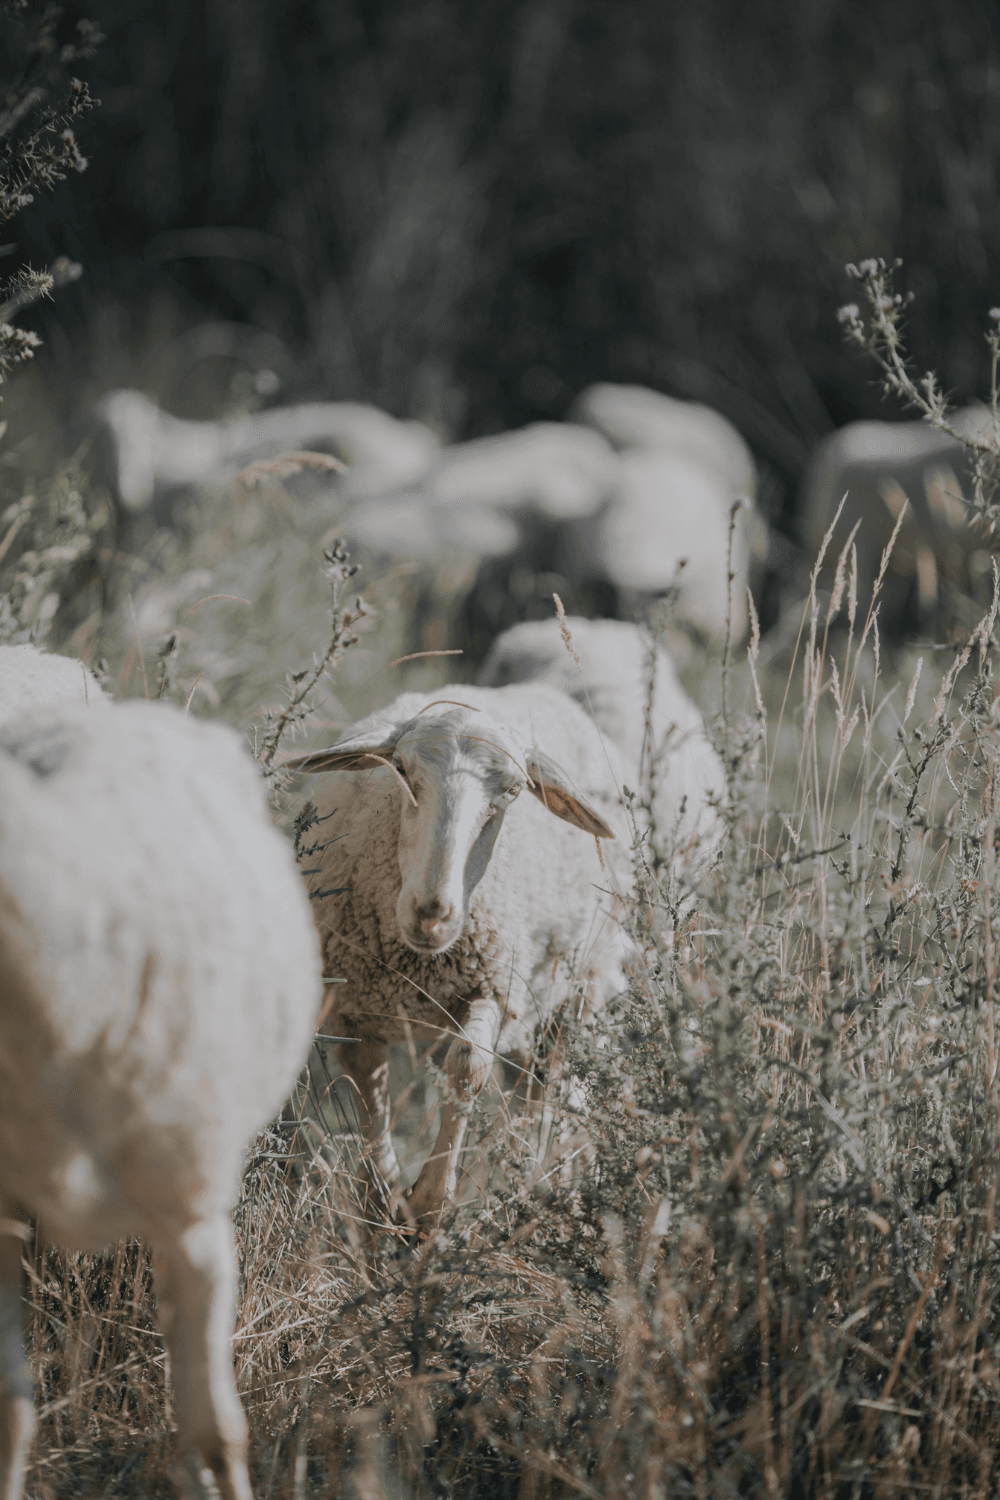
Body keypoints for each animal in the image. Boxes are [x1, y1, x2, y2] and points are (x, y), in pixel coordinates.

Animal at [283, 680, 632, 1227]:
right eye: (401, 770)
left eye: (513, 792)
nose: (432, 913)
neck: (417, 962)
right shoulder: (356, 1005)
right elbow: (367, 1084)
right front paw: (384, 1197)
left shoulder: (495, 983)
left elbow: (467, 1065)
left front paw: (429, 1204)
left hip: (582, 985)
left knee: (558, 1082)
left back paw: (550, 1178)